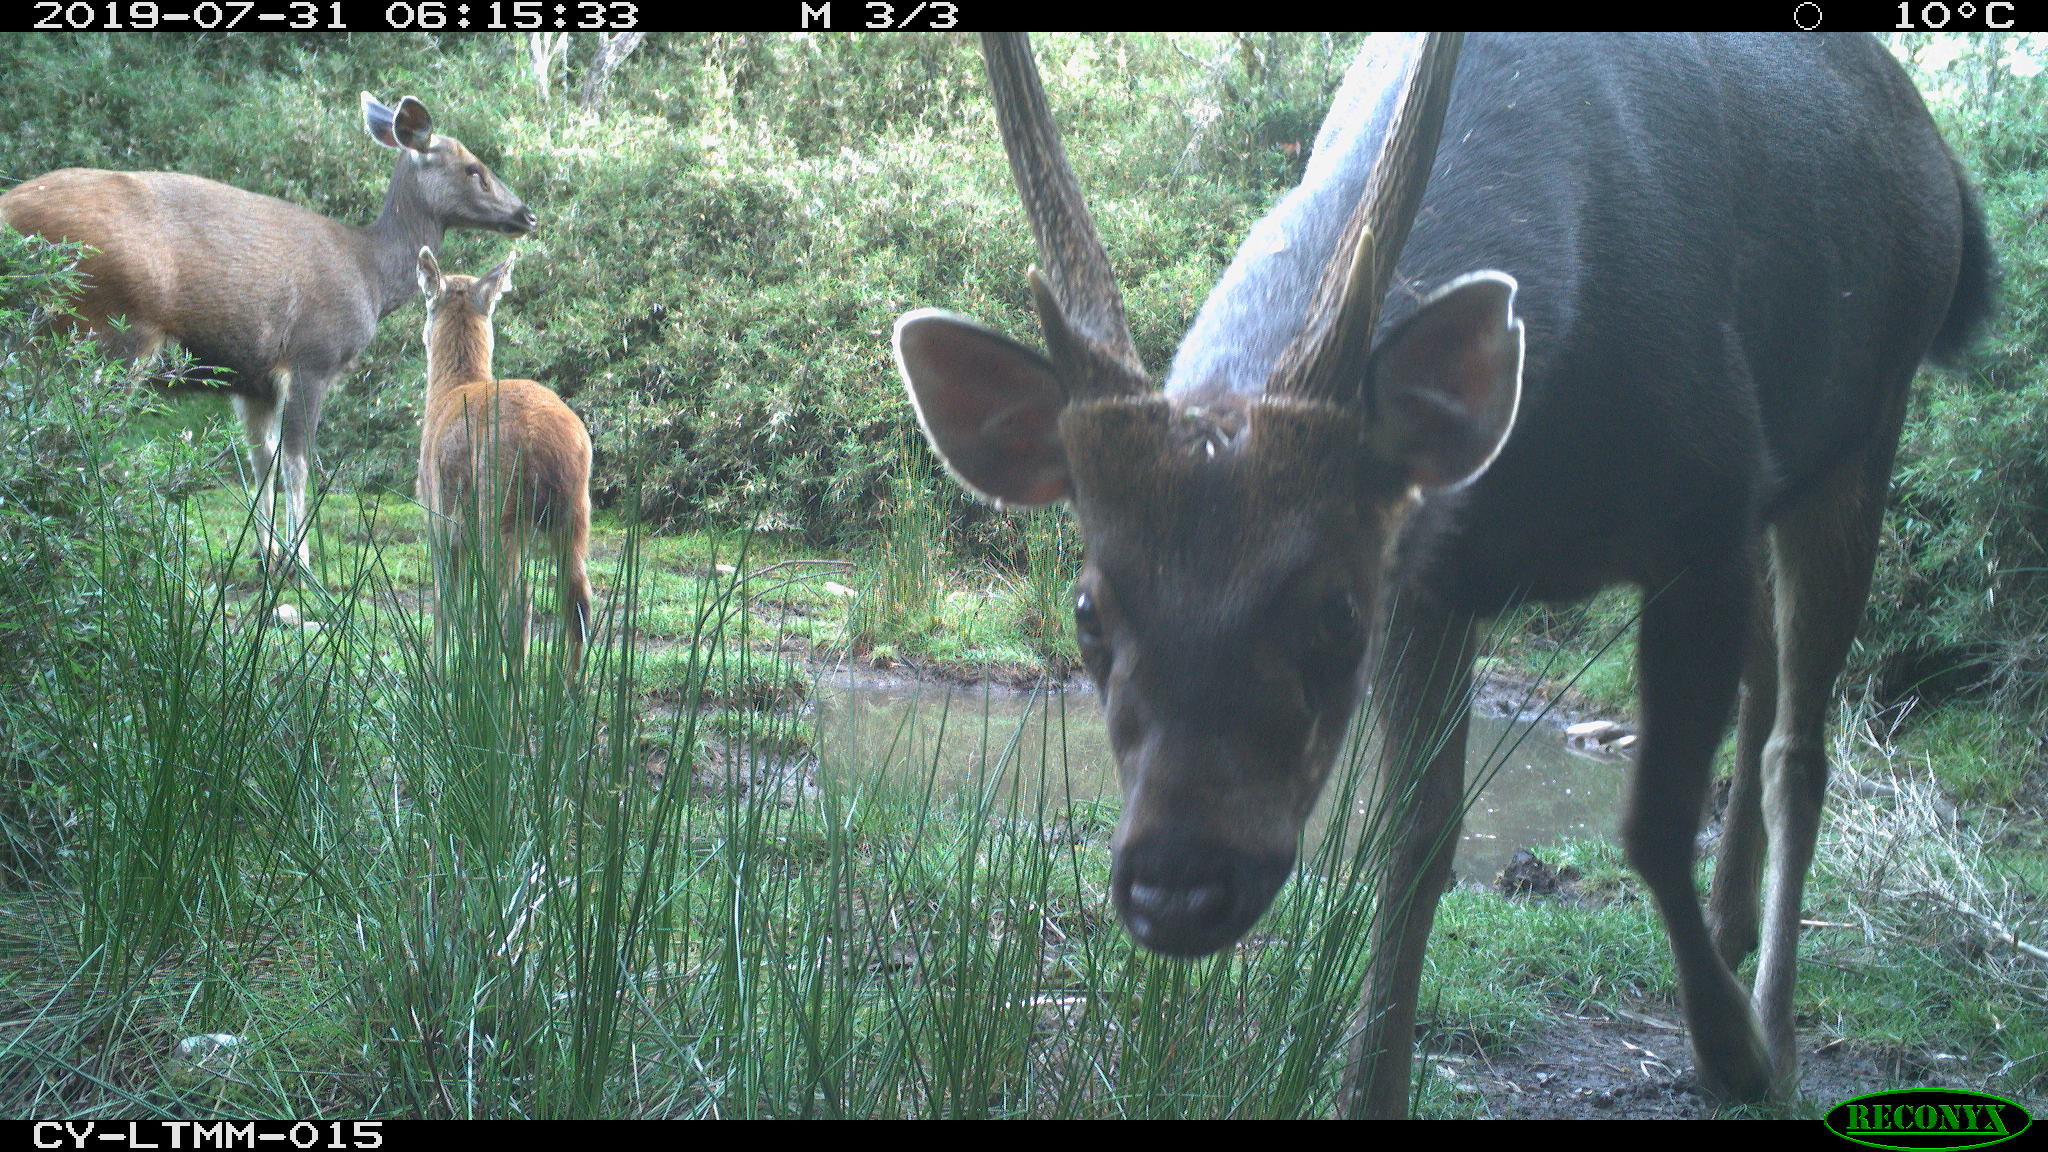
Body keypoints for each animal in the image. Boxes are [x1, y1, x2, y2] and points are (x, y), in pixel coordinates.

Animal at [0, 94, 540, 569]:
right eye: (473, 168)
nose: (527, 214)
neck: (370, 274)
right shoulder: (311, 358)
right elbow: (297, 464)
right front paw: (300, 560)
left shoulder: (251, 378)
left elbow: (261, 463)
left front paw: (265, 553)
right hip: (107, 331)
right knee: (75, 435)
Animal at [413, 241, 593, 672]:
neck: (450, 389)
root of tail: (552, 445)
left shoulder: (438, 515)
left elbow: (445, 599)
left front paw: (439, 669)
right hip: (576, 511)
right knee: (577, 603)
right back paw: (569, 687)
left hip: (499, 506)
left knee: (516, 601)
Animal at [892, 33, 1982, 1115]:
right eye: (1087, 608)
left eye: (1336, 610)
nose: (1178, 885)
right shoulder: (1433, 576)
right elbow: (1413, 843)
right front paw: (1369, 1088)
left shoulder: (1706, 504)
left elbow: (1655, 823)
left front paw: (1734, 1054)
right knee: (1763, 693)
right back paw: (1730, 927)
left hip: (1865, 423)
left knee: (1798, 746)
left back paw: (1773, 1022)